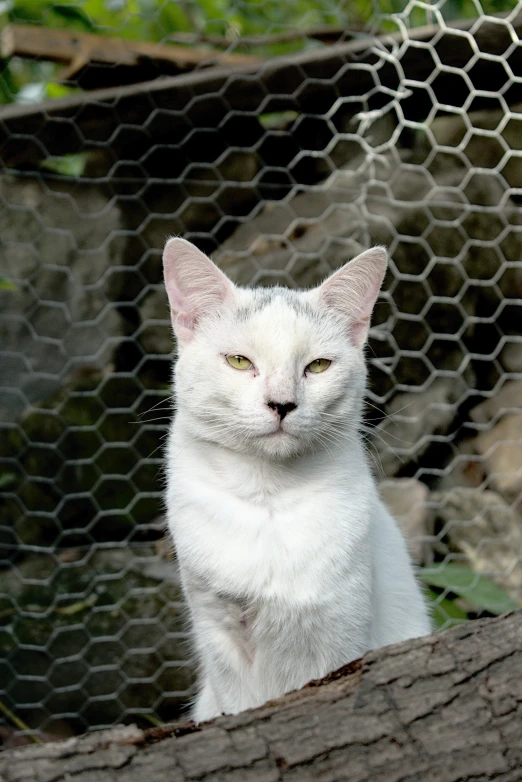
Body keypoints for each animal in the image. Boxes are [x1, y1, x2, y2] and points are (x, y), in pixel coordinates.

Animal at [164, 237, 430, 724]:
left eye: (319, 366)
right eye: (239, 361)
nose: (282, 403)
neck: (269, 497)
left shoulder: (342, 628)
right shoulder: (218, 628)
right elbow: (238, 702)